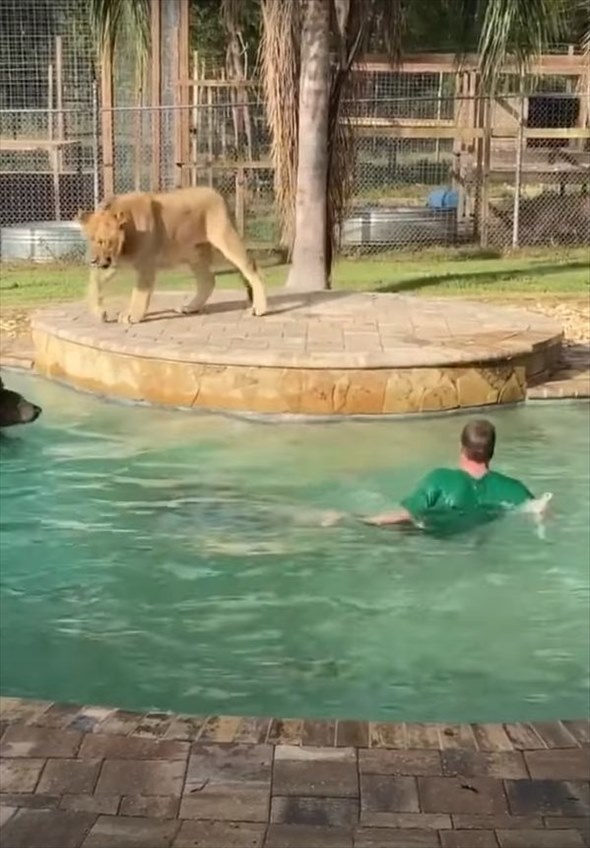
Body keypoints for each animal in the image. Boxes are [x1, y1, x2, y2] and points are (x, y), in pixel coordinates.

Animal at [77, 187, 270, 322]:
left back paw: (259, 309)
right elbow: (94, 283)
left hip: (224, 241)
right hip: (195, 254)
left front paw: (132, 316)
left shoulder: (145, 265)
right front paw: (99, 312)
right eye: (89, 239)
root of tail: (218, 194)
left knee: (252, 268)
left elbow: (139, 294)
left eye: (102, 241)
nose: (91, 260)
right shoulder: (112, 263)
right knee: (208, 279)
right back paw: (190, 307)